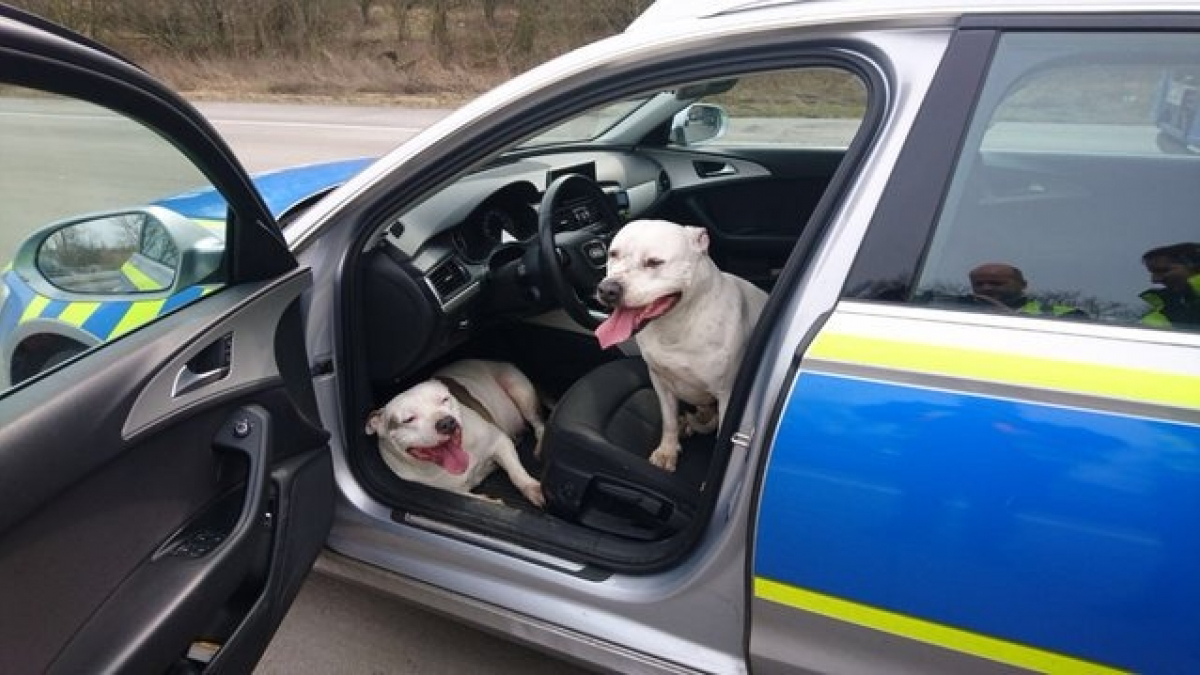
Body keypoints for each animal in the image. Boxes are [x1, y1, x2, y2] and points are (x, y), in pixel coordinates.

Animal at [364, 357, 549, 504]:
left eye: (445, 399)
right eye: (408, 419)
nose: (446, 422)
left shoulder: (499, 442)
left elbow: (516, 473)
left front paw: (533, 488)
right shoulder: (449, 491)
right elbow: (471, 498)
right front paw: (492, 502)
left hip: (519, 390)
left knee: (539, 424)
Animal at [592, 218, 768, 470]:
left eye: (654, 262)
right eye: (613, 254)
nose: (608, 289)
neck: (675, 325)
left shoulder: (727, 395)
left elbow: (721, 437)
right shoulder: (660, 382)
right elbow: (669, 421)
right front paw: (667, 451)